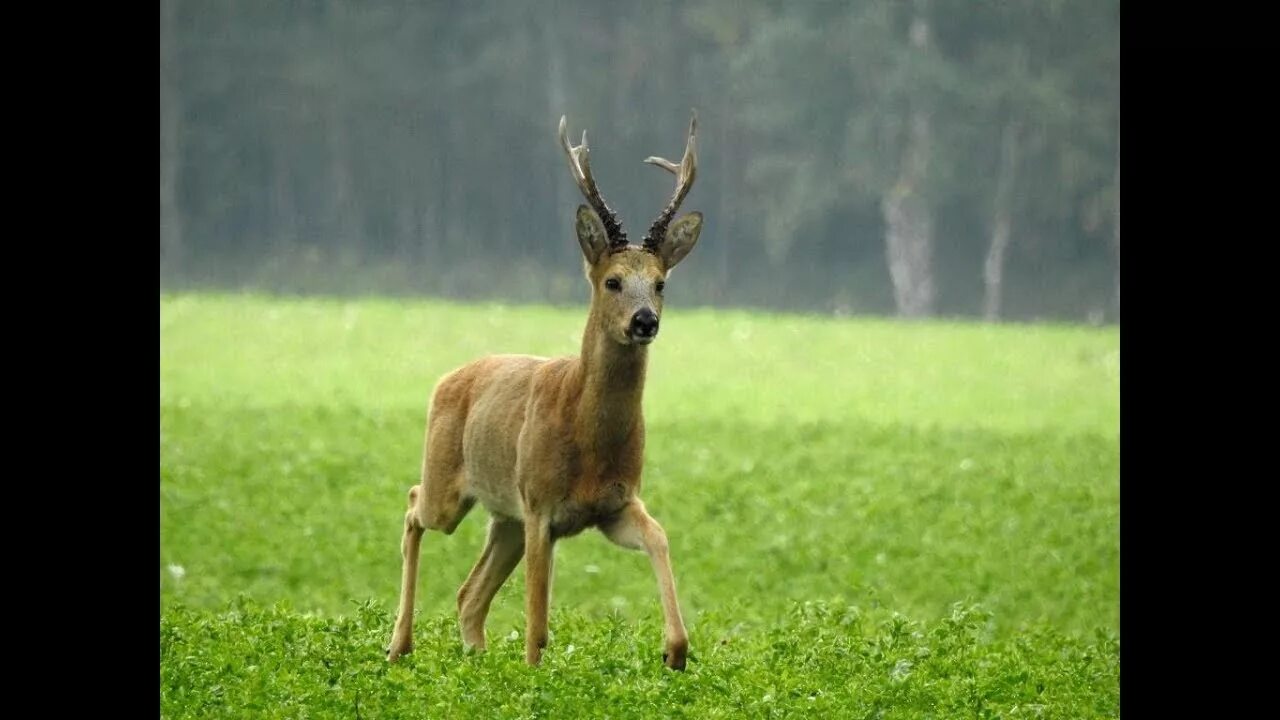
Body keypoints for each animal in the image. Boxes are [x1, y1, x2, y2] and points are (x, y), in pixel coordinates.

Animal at [384, 110, 706, 666]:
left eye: (661, 282)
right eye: (612, 281)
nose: (645, 321)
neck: (587, 433)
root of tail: (448, 378)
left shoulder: (615, 504)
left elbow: (660, 538)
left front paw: (675, 652)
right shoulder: (540, 508)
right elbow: (537, 626)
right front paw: (535, 675)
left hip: (504, 517)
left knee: (469, 595)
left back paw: (476, 659)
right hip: (454, 485)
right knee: (413, 505)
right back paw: (399, 645)